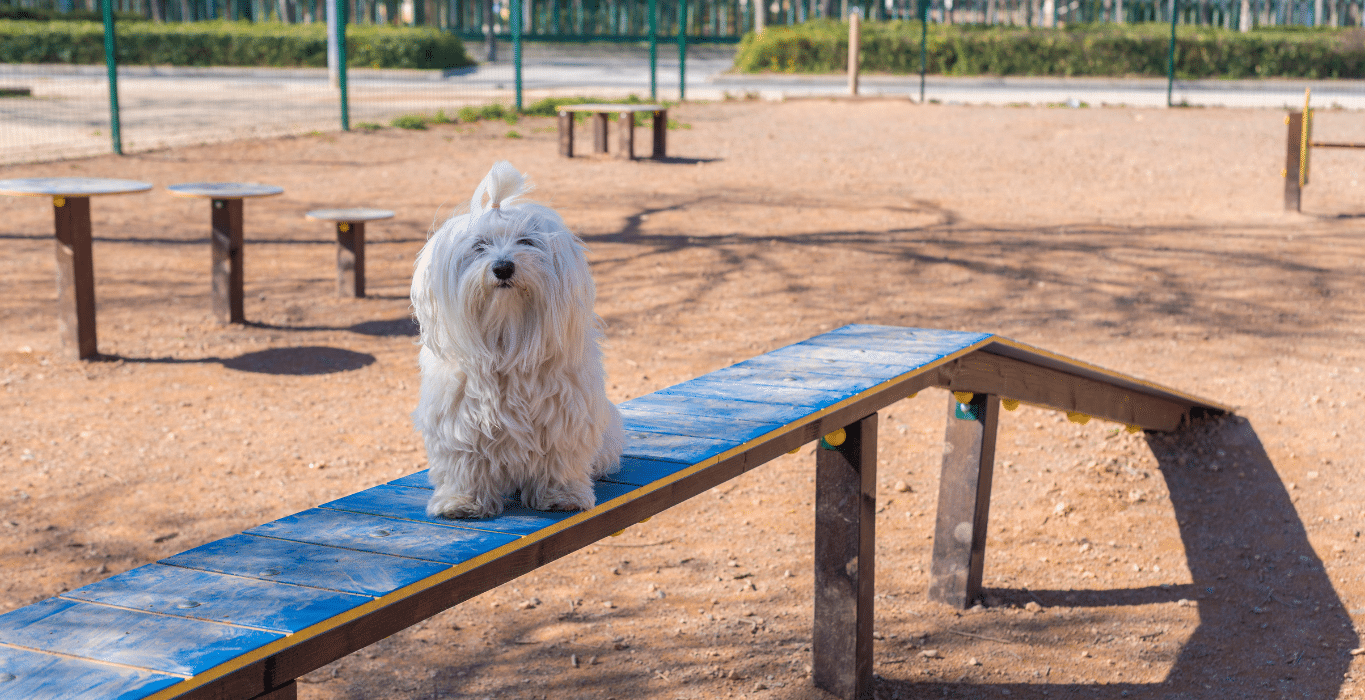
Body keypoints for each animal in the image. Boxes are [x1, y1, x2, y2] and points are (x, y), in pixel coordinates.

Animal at [409, 161, 625, 515]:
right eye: (479, 246)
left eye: (526, 241)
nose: (503, 267)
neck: (507, 336)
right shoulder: (460, 419)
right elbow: (465, 462)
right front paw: (463, 500)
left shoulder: (561, 418)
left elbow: (559, 459)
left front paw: (561, 495)